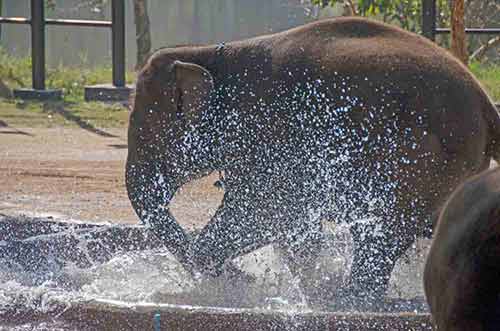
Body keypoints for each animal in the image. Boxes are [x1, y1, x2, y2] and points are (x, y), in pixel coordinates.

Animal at [126, 16, 500, 308]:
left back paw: (348, 300)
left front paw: (243, 287)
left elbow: (264, 212)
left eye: (146, 131)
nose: (242, 277)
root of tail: (486, 105)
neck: (205, 55)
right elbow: (291, 227)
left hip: (424, 161)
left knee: (382, 232)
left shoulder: (267, 134)